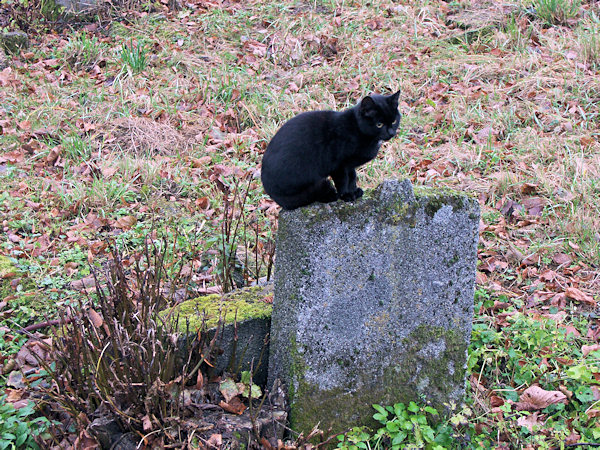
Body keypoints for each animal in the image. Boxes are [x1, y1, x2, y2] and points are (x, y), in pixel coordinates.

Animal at [260, 92, 400, 212]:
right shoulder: (338, 166)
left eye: (394, 121)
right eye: (379, 124)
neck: (357, 129)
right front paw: (346, 196)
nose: (391, 133)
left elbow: (352, 178)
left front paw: (354, 191)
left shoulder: (349, 165)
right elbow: (343, 181)